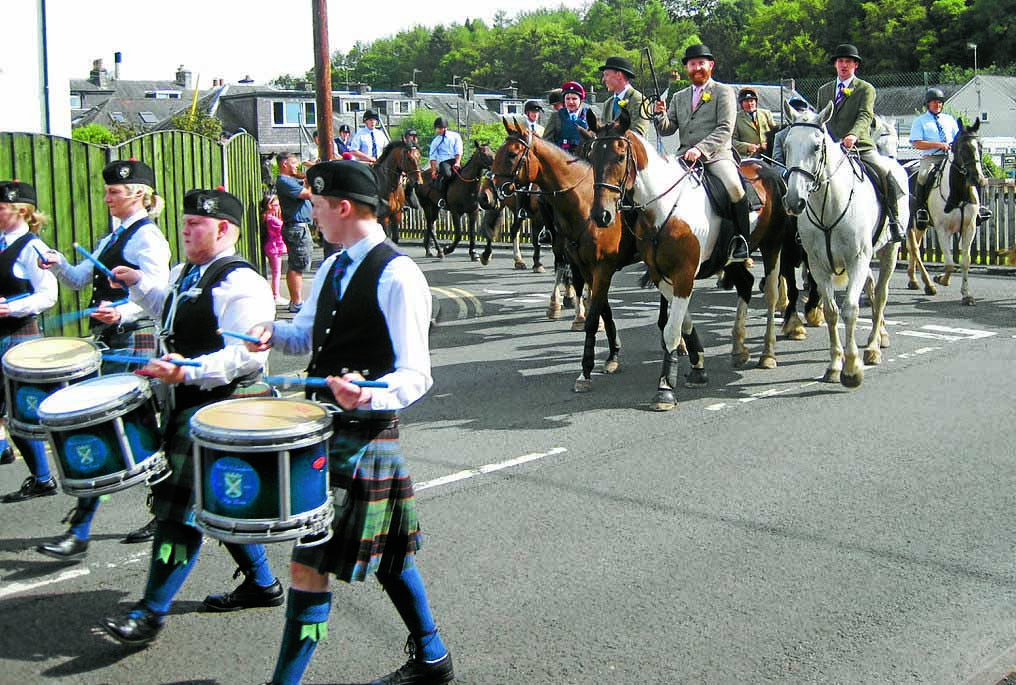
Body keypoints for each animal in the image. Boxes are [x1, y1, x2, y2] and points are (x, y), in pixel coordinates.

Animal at [489, 115, 638, 392]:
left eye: (512, 154)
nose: (490, 193)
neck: (585, 203)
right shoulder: (586, 268)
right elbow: (602, 308)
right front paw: (612, 355)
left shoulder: (602, 269)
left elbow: (594, 314)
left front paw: (586, 370)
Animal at [589, 111, 800, 408]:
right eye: (592, 155)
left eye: (620, 156)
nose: (602, 215)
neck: (665, 208)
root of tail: (770, 170)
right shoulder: (662, 276)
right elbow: (682, 324)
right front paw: (697, 367)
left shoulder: (684, 274)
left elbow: (672, 330)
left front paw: (665, 388)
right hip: (731, 260)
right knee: (745, 284)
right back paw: (739, 348)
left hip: (772, 247)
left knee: (771, 294)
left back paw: (767, 354)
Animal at [776, 103, 906, 386]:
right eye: (788, 145)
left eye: (816, 146)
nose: (793, 201)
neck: (829, 206)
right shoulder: (818, 266)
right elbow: (831, 312)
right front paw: (835, 365)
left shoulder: (856, 261)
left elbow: (850, 310)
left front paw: (852, 368)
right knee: (871, 288)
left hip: (889, 250)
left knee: (880, 295)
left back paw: (874, 346)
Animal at [910, 117, 987, 304]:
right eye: (961, 148)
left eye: (980, 146)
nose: (977, 179)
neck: (958, 193)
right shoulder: (942, 229)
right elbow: (950, 263)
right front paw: (941, 279)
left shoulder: (968, 228)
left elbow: (964, 261)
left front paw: (966, 295)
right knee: (914, 249)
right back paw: (928, 284)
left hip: (921, 226)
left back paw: (914, 281)